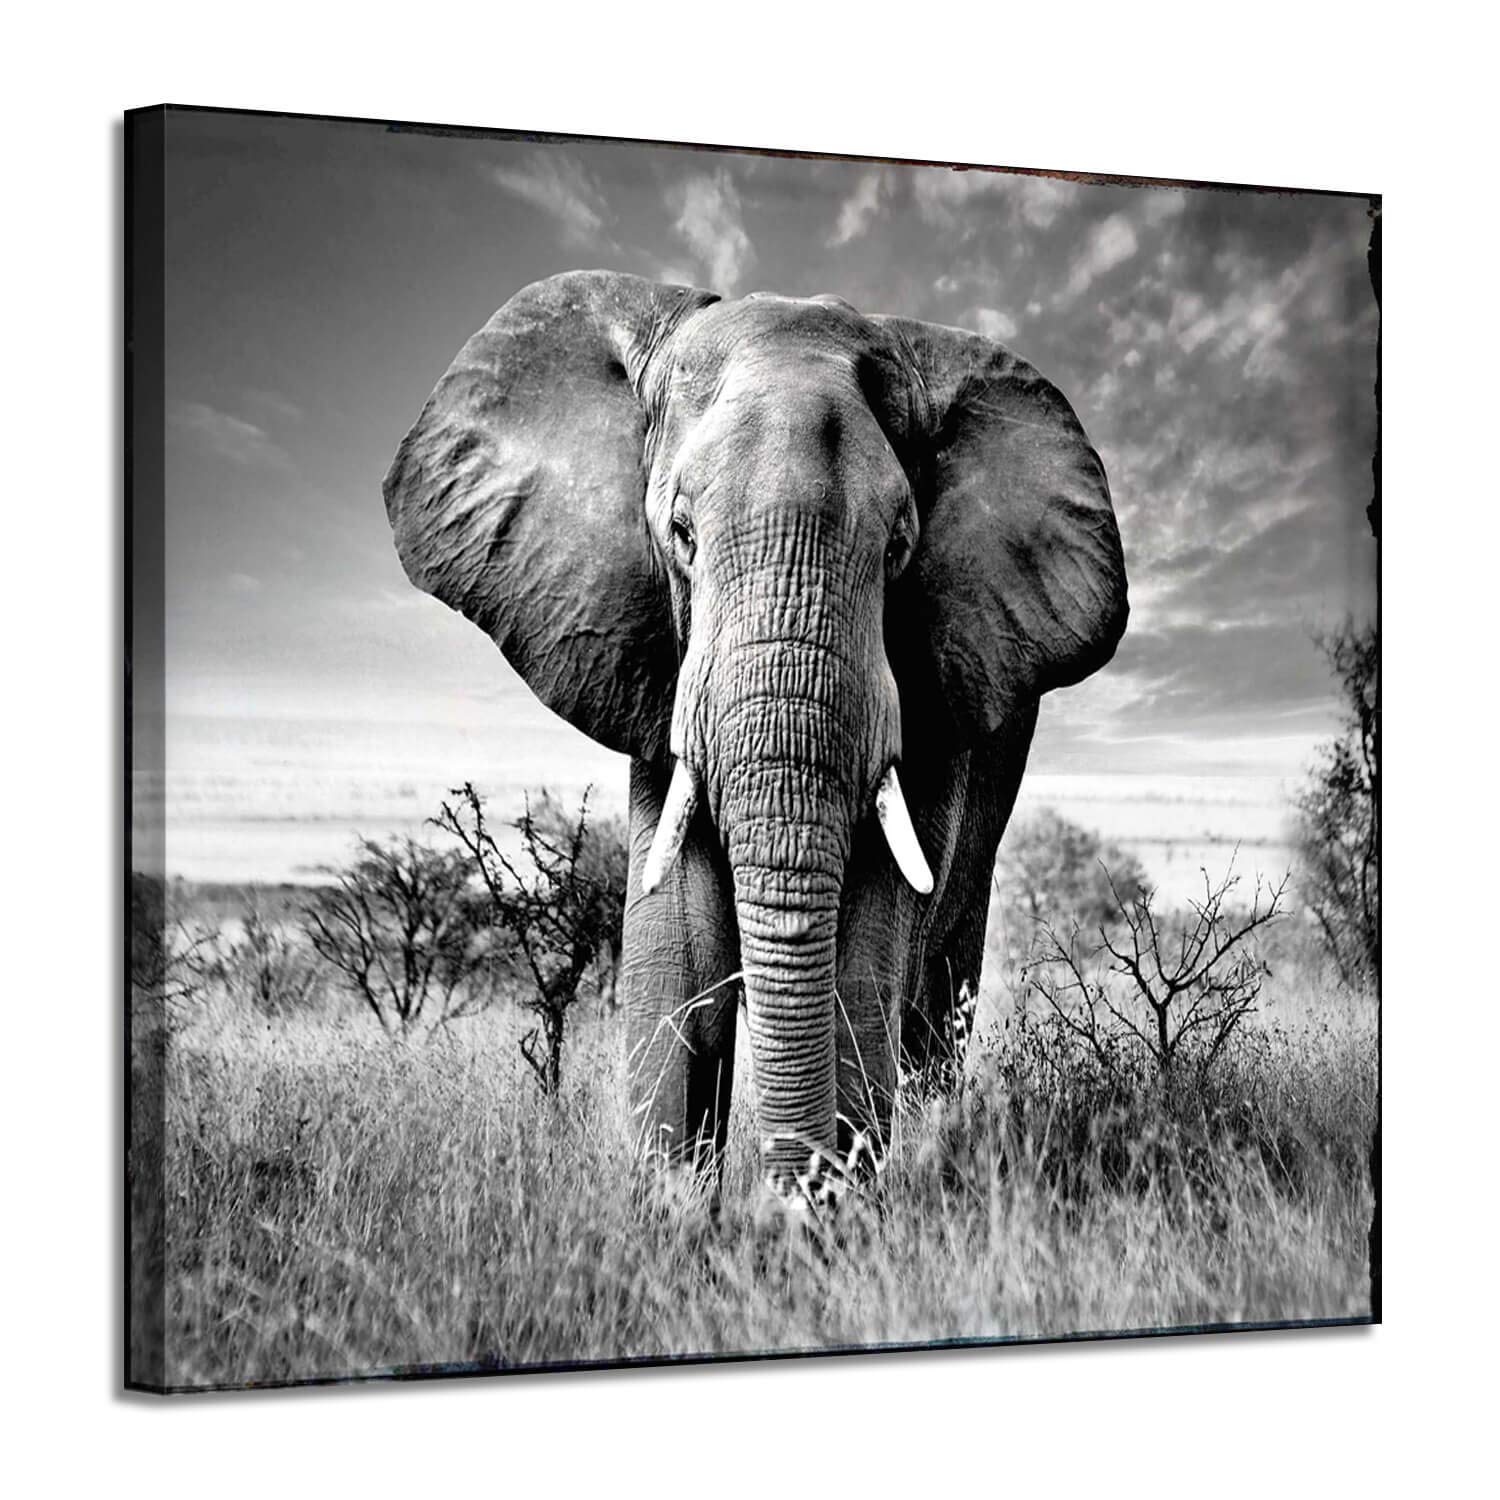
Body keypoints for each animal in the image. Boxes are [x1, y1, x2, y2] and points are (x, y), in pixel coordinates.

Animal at [383, 270, 1127, 1203]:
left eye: (900, 548)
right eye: (682, 535)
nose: (787, 1204)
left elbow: (867, 954)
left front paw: (835, 1214)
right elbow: (677, 943)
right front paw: (675, 1214)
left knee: (937, 993)